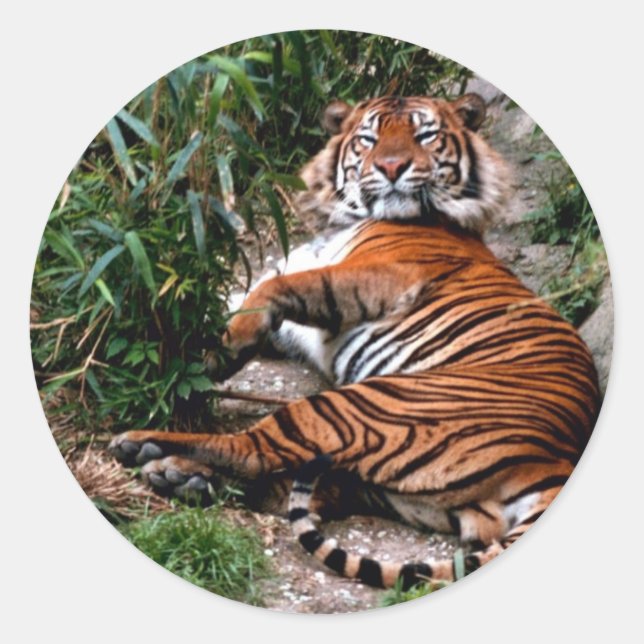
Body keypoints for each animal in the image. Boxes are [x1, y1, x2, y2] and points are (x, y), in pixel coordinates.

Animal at [109, 93, 600, 591]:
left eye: (425, 135)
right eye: (369, 138)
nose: (392, 167)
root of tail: (556, 462)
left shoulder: (383, 274)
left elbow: (273, 292)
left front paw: (215, 352)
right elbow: (239, 298)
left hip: (358, 406)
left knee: (254, 452)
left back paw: (147, 447)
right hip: (409, 491)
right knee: (302, 483)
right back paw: (181, 476)